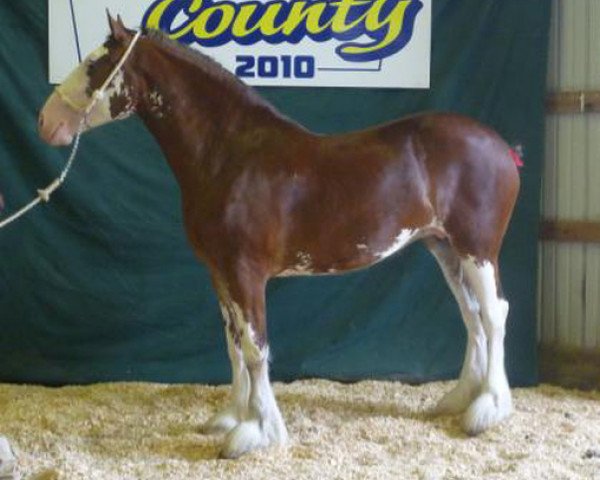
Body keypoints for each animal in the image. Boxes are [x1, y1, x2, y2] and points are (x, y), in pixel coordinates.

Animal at [38, 15, 520, 458]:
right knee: (473, 316)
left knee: (495, 314)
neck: (230, 156)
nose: (45, 122)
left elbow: (255, 349)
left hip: (477, 249)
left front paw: (258, 432)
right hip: (445, 248)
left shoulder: (245, 272)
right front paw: (232, 417)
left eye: (96, 65)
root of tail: (502, 148)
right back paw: (461, 399)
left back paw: (489, 409)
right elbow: (233, 346)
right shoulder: (219, 273)